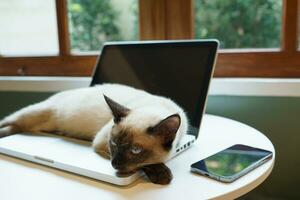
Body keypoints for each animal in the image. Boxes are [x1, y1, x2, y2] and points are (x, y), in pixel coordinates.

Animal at [0, 83, 188, 184]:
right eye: (114, 143)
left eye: (135, 150)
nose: (114, 163)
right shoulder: (100, 141)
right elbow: (147, 164)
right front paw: (162, 175)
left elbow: (147, 162)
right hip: (31, 114)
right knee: (8, 122)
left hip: (35, 124)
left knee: (16, 128)